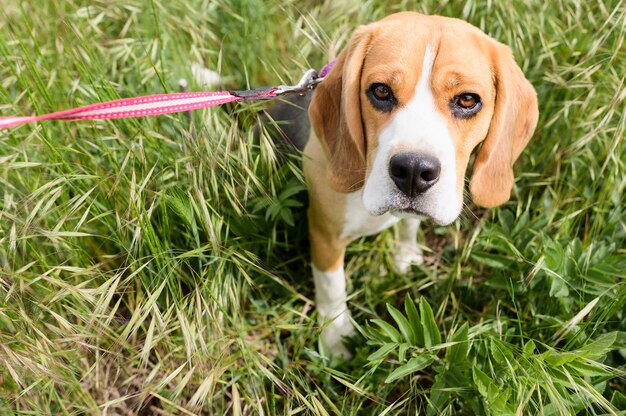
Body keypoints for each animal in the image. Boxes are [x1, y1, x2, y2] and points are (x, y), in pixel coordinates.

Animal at [264, 11, 536, 356]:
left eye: (467, 100)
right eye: (380, 91)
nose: (413, 170)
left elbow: (409, 225)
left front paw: (406, 254)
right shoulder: (324, 231)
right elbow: (331, 285)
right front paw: (336, 335)